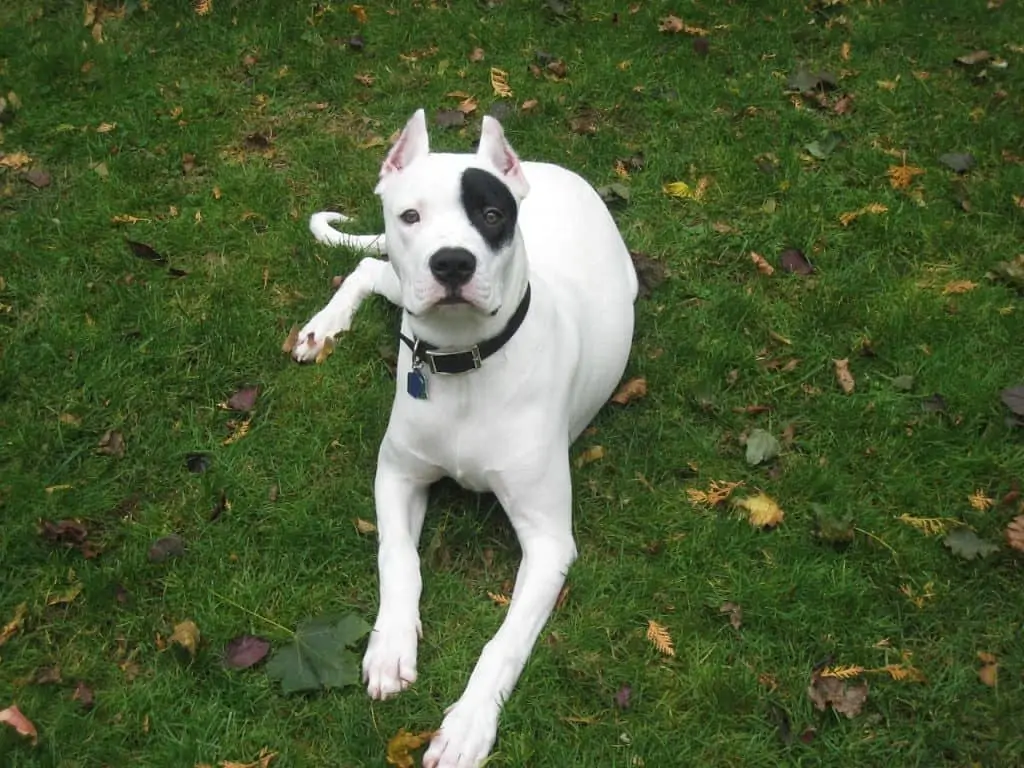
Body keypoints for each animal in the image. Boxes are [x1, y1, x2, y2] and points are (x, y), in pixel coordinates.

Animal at [292, 109, 634, 768]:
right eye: (410, 216)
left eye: (492, 215)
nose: (452, 263)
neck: (464, 363)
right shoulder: (396, 475)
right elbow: (398, 559)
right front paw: (390, 646)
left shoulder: (549, 543)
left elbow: (504, 643)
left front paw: (469, 724)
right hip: (398, 289)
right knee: (370, 268)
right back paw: (324, 326)